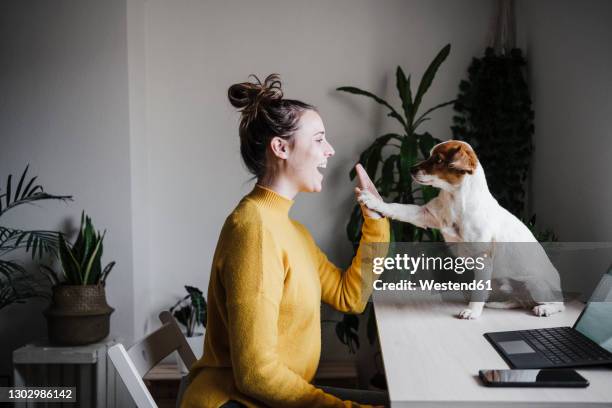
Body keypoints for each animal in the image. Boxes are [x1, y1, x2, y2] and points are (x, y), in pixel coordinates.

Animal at [358, 140, 564, 318]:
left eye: (438, 160)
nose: (410, 169)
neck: (454, 199)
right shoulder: (425, 215)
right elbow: (397, 208)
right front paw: (374, 201)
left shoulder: (483, 258)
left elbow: (478, 290)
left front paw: (472, 311)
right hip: (500, 282)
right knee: (519, 300)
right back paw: (501, 304)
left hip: (536, 284)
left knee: (557, 305)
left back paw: (545, 309)